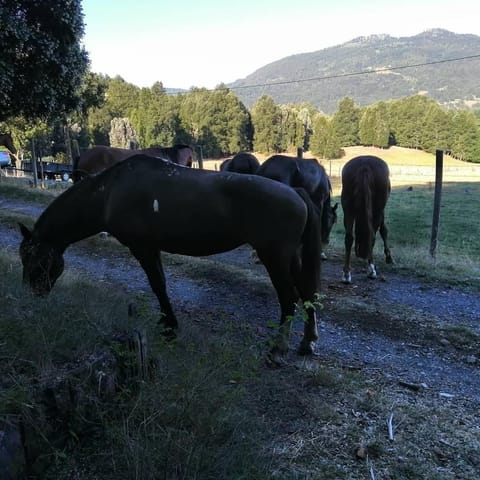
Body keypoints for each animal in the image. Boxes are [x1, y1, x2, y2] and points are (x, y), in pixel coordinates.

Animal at [20, 156, 324, 362]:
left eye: (33, 260)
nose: (32, 295)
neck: (109, 192)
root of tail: (296, 193)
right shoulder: (151, 248)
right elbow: (161, 284)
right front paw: (169, 324)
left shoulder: (142, 248)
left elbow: (157, 285)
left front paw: (169, 326)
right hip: (292, 259)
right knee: (307, 293)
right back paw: (307, 342)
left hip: (274, 258)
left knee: (289, 299)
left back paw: (278, 350)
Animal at [340, 156, 392, 284]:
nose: (361, 253)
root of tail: (365, 164)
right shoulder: (381, 212)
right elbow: (384, 230)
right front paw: (388, 256)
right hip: (377, 209)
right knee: (372, 235)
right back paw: (371, 270)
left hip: (348, 208)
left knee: (349, 238)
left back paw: (346, 273)